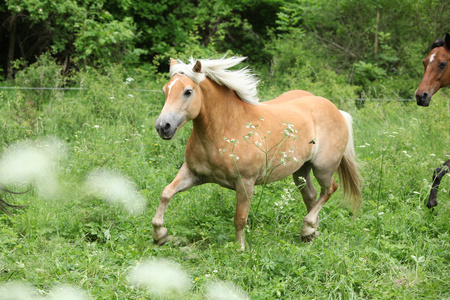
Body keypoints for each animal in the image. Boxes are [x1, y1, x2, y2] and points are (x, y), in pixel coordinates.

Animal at [151, 56, 362, 251]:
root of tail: (337, 110)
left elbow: (240, 218)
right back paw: (311, 234)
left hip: (323, 168)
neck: (227, 128)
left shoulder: (245, 183)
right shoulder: (193, 173)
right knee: (311, 195)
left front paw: (240, 249)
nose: (163, 127)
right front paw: (160, 235)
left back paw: (307, 227)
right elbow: (166, 193)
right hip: (301, 170)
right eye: (165, 90)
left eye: (188, 91)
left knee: (330, 189)